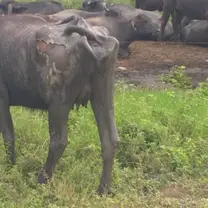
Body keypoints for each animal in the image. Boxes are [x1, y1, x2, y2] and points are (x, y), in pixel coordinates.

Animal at [0, 14, 119, 195]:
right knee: (110, 139)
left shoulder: (2, 98)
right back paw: (103, 190)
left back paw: (41, 180)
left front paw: (10, 168)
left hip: (59, 103)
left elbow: (8, 136)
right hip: (103, 93)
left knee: (59, 141)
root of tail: (95, 37)